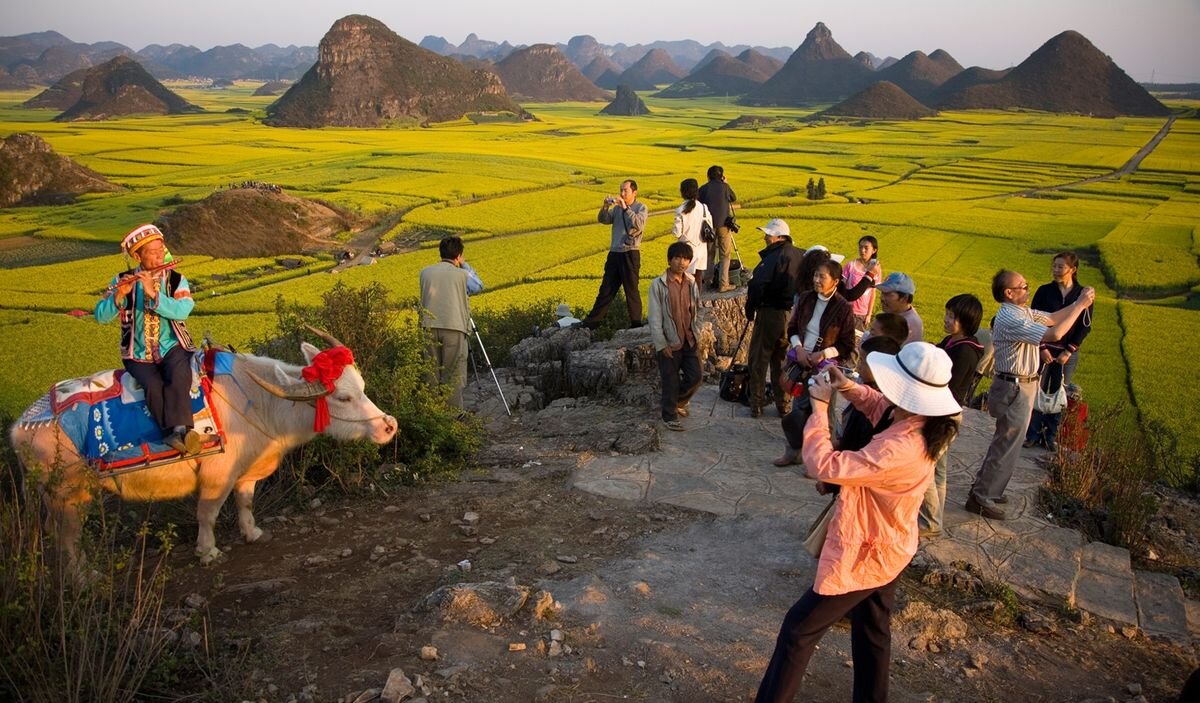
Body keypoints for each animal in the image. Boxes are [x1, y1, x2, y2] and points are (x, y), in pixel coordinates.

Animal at [9, 328, 398, 568]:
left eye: (362, 386)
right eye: (343, 397)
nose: (388, 426)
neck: (258, 401)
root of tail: (21, 426)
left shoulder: (245, 472)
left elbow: (245, 502)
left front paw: (252, 533)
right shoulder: (216, 476)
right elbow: (207, 513)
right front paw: (208, 551)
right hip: (68, 494)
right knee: (66, 535)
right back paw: (85, 578)